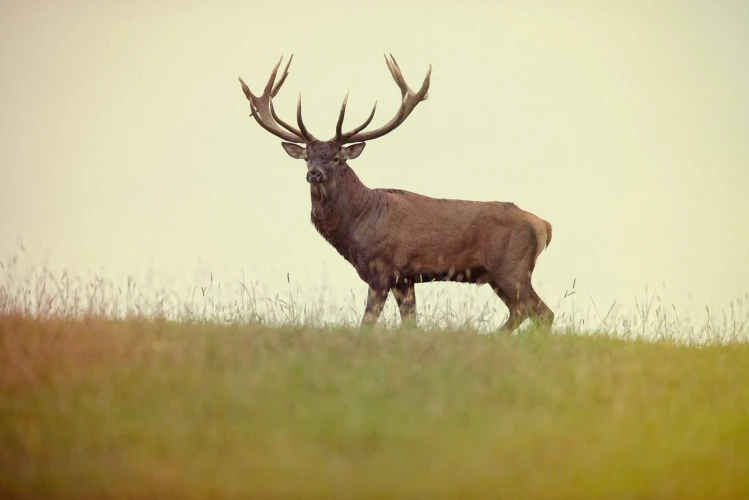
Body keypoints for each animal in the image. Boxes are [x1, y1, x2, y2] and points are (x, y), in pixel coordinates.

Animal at [238, 54, 554, 332]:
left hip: (512, 268)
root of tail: (545, 226)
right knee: (524, 312)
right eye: (307, 157)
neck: (357, 224)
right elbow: (410, 324)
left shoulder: (382, 270)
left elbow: (367, 323)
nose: (314, 174)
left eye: (337, 158)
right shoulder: (406, 278)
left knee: (541, 313)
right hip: (499, 276)